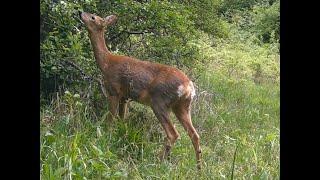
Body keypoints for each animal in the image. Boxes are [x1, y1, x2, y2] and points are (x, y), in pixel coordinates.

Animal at [79, 11, 201, 169]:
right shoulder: (124, 96)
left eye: (93, 17)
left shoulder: (113, 90)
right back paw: (199, 168)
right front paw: (120, 136)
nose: (80, 12)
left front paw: (105, 138)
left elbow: (110, 119)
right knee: (194, 135)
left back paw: (157, 162)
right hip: (182, 106)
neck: (106, 63)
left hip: (160, 101)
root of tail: (188, 87)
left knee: (173, 133)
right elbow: (122, 119)